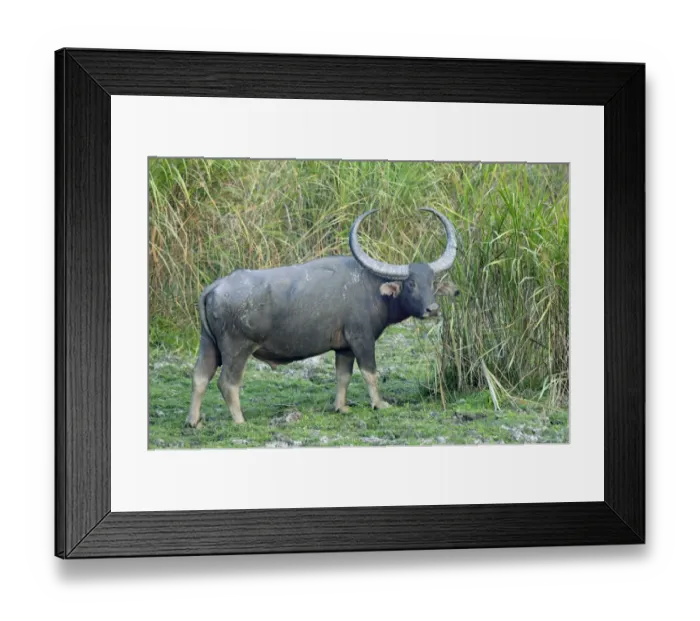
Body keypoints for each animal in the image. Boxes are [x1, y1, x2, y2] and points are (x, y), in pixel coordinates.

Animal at [186, 207, 459, 427]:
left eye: (431, 282)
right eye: (411, 284)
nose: (432, 309)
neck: (372, 288)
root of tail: (215, 287)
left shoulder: (344, 348)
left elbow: (343, 376)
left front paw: (341, 406)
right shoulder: (362, 339)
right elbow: (370, 372)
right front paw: (379, 403)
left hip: (208, 344)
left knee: (200, 377)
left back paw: (193, 421)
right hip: (237, 348)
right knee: (227, 383)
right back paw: (240, 420)